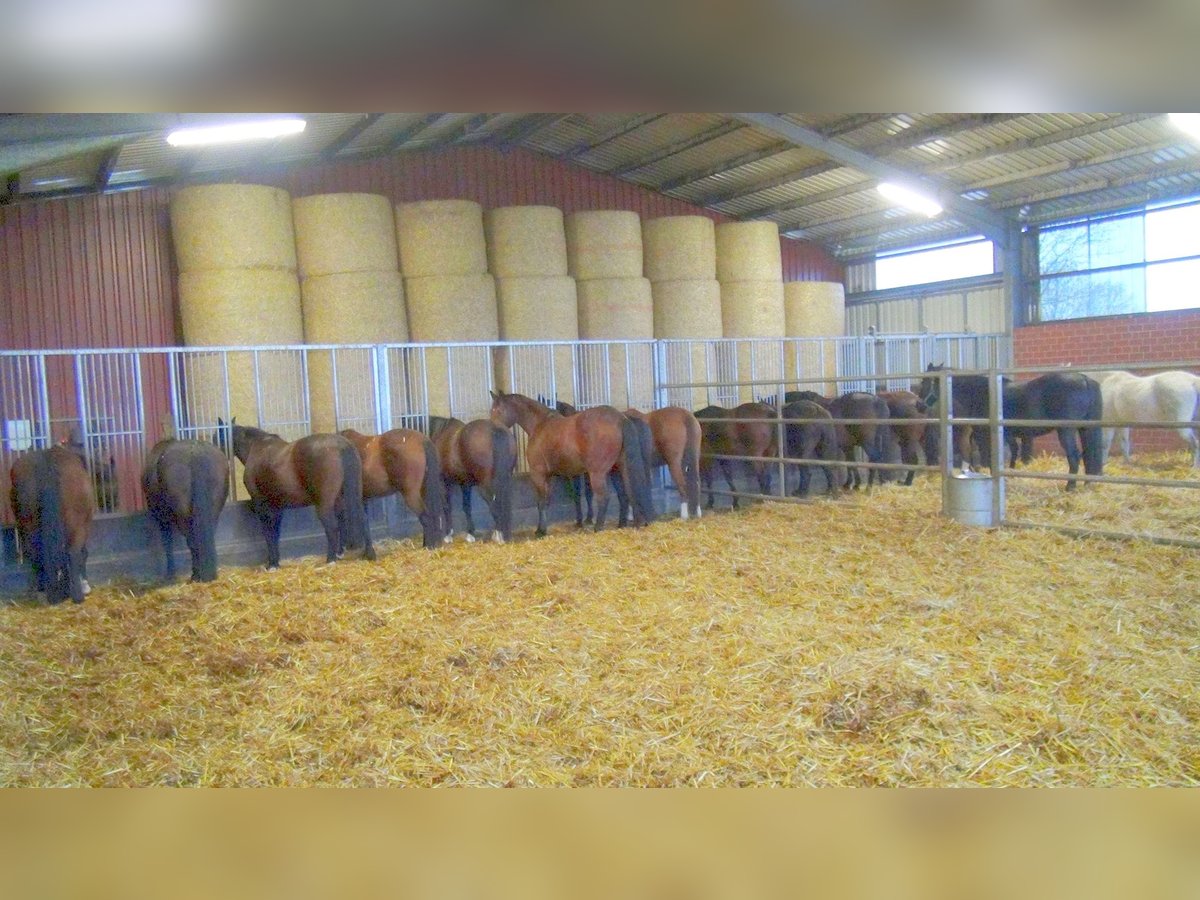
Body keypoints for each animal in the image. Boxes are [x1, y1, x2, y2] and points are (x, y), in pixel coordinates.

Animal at [9, 444, 94, 603]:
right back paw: (77, 594)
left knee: (36, 554)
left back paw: (42, 591)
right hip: (77, 526)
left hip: (29, 526)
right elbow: (82, 553)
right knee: (73, 553)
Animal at [142, 438, 230, 582]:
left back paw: (196, 575)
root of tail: (196, 453)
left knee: (192, 541)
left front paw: (170, 573)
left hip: (183, 515)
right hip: (213, 512)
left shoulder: (162, 519)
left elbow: (167, 543)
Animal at [214, 418, 375, 569]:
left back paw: (330, 559)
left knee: (332, 527)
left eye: (216, 436)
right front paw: (276, 562)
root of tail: (341, 445)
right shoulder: (277, 506)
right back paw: (367, 554)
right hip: (348, 497)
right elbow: (275, 532)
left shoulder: (261, 504)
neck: (257, 448)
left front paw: (272, 564)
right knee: (361, 519)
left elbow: (268, 532)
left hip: (324, 504)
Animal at [489, 390, 655, 536]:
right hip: (623, 467)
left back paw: (598, 527)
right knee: (629, 491)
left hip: (597, 473)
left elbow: (540, 502)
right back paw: (634, 523)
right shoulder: (550, 476)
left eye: (498, 410)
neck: (540, 425)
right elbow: (546, 501)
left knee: (604, 496)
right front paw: (543, 529)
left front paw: (540, 531)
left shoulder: (538, 474)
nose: (493, 430)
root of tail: (621, 419)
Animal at [919, 365, 1104, 490]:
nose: (920, 406)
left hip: (1066, 430)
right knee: (1089, 454)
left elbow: (989, 459)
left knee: (1074, 455)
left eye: (925, 381)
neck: (980, 393)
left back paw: (1070, 486)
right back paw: (1087, 484)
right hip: (1085, 429)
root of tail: (1084, 379)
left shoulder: (984, 436)